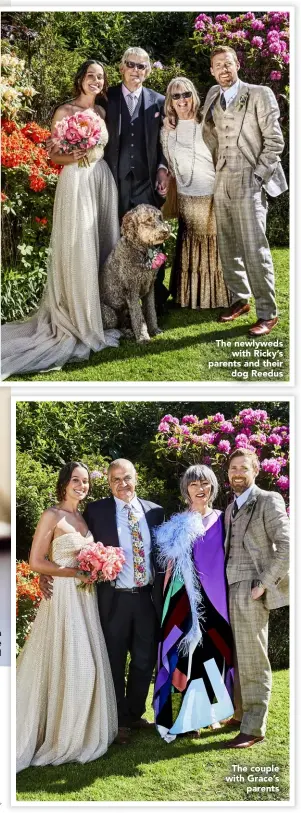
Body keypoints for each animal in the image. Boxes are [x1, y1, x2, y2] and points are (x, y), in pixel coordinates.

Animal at [98, 205, 169, 344]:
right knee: (112, 328)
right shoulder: (132, 291)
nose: (165, 231)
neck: (142, 251)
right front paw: (143, 337)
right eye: (148, 220)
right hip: (110, 314)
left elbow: (151, 311)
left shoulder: (149, 288)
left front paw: (154, 330)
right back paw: (125, 333)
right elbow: (138, 317)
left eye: (160, 217)